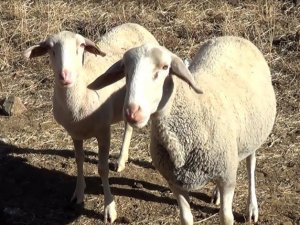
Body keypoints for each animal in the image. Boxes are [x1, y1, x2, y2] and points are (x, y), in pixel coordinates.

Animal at [23, 22, 158, 223]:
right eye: (50, 48)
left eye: (80, 46)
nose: (65, 75)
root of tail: (135, 25)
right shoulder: (74, 133)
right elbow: (79, 161)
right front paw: (78, 194)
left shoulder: (103, 131)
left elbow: (102, 169)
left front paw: (109, 209)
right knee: (128, 126)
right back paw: (121, 160)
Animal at [89, 37, 276, 225]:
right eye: (125, 71)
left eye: (165, 67)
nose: (132, 112)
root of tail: (233, 37)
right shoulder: (176, 181)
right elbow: (186, 218)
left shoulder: (227, 178)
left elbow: (226, 217)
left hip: (254, 134)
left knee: (251, 164)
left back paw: (252, 208)